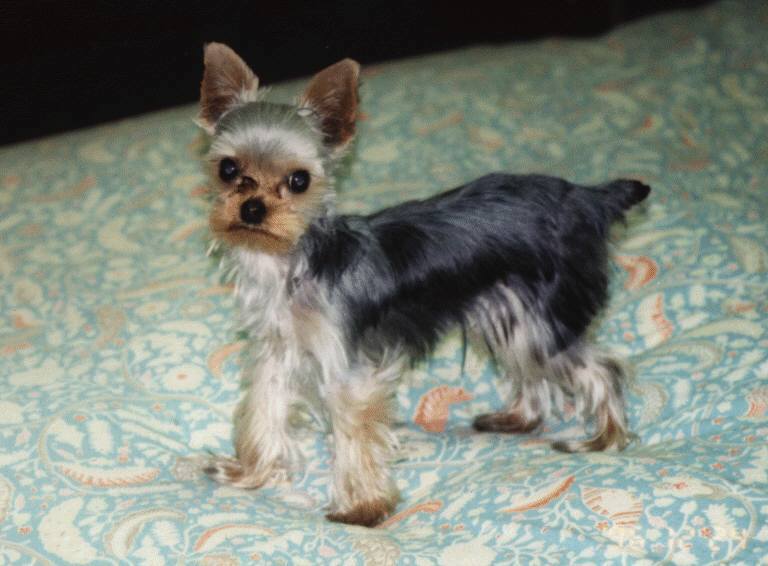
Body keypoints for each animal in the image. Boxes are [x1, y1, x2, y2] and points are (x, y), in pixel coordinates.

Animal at [197, 43, 650, 527]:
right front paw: (250, 473)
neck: (289, 263)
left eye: (299, 180)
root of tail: (589, 198)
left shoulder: (348, 369)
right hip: (512, 309)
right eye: (228, 169)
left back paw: (604, 439)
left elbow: (353, 432)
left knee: (603, 369)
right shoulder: (277, 351)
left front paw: (362, 508)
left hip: (545, 316)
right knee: (533, 370)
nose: (252, 208)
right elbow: (263, 409)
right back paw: (516, 420)